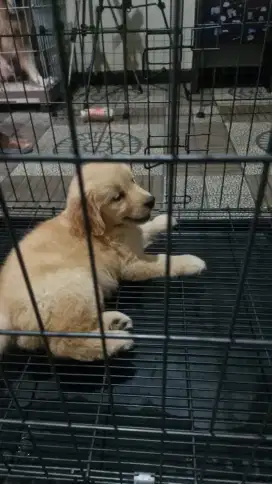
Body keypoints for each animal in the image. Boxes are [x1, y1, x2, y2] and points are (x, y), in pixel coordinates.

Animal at [0, 163, 206, 360]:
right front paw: (191, 262)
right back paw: (117, 342)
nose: (151, 200)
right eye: (117, 197)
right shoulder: (131, 264)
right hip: (76, 285)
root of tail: (6, 313)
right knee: (65, 343)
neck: (104, 228)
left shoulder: (135, 235)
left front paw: (165, 219)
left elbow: (146, 227)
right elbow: (164, 261)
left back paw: (114, 322)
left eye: (132, 180)